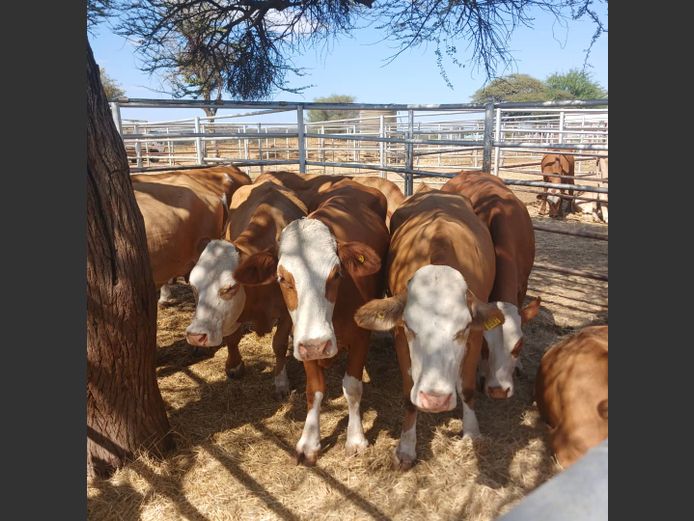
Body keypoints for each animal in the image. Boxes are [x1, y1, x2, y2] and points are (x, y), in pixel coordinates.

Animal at [184, 181, 308, 395]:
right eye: (193, 286)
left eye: (230, 287)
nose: (196, 336)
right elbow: (232, 338)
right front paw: (234, 366)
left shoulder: (285, 312)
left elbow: (279, 344)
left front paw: (281, 382)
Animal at [233, 179, 390, 465]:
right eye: (282, 278)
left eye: (337, 273)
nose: (319, 345)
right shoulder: (303, 343)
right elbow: (313, 390)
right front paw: (309, 442)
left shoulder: (360, 338)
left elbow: (353, 388)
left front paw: (356, 439)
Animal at [354, 190, 505, 469]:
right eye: (411, 329)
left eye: (462, 330)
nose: (435, 400)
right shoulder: (400, 338)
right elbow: (408, 394)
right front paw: (406, 447)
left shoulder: (475, 335)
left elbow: (467, 388)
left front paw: (471, 433)